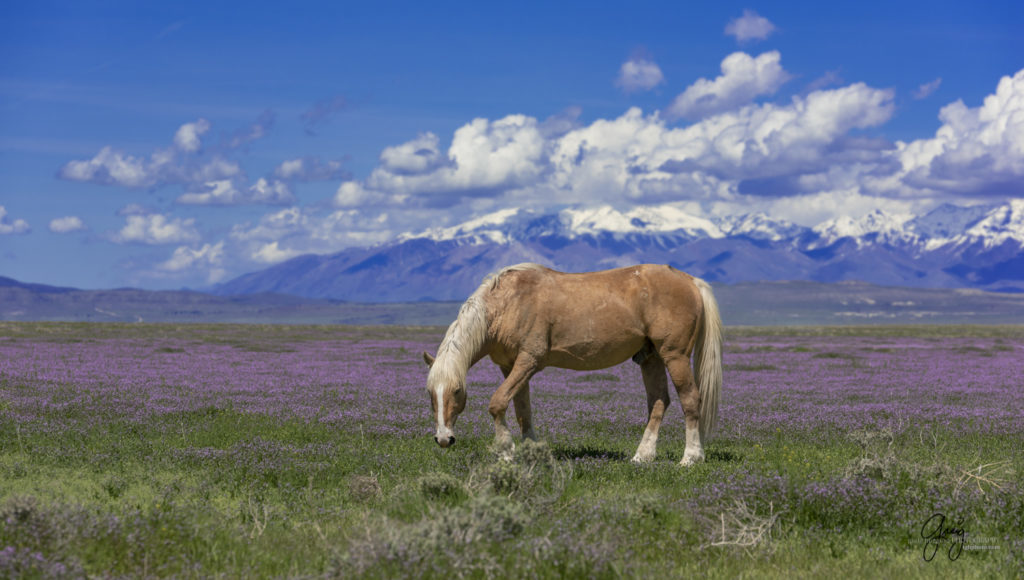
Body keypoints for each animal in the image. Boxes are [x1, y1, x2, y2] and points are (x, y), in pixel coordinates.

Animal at [419, 264, 724, 469]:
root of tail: (691, 281)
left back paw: (691, 457)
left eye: (457, 391)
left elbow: (497, 404)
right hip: (651, 358)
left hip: (675, 356)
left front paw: (506, 452)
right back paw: (642, 456)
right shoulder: (510, 366)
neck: (508, 303)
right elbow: (522, 411)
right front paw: (532, 452)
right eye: (430, 393)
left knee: (690, 400)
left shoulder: (529, 361)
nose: (444, 438)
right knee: (659, 402)